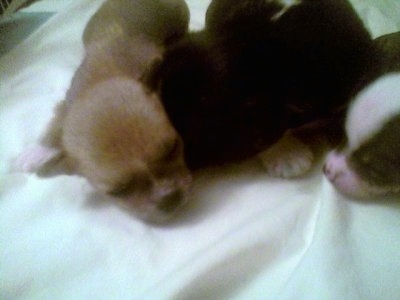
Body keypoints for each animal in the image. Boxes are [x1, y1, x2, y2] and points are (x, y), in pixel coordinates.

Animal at [14, 0, 192, 223]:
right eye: (119, 191)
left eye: (174, 147)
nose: (168, 197)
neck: (103, 77)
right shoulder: (66, 105)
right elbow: (55, 126)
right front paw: (35, 153)